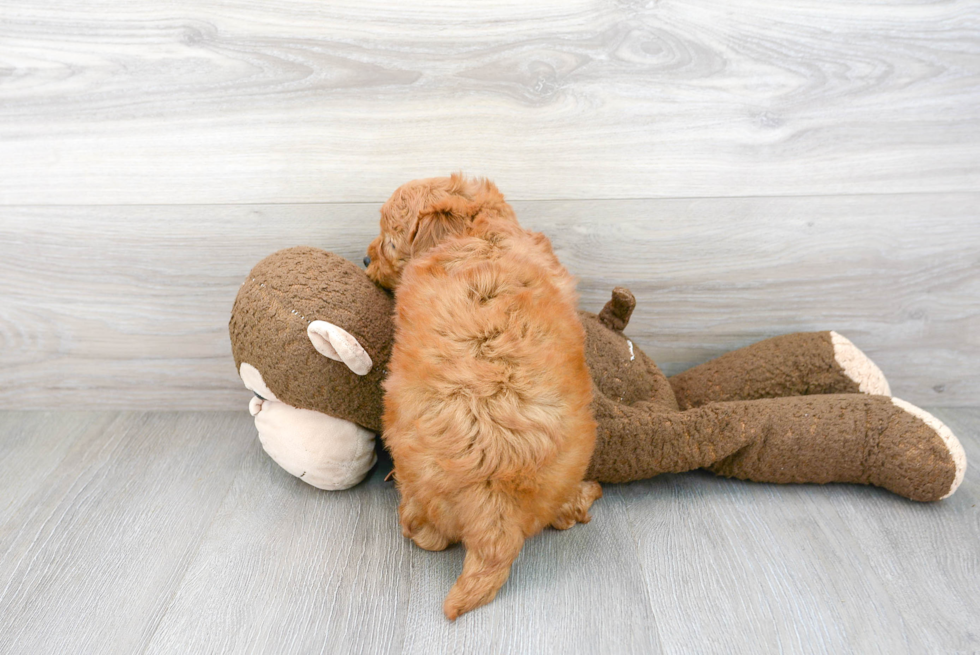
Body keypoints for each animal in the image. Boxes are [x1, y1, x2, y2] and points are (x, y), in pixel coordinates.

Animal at [366, 174, 600, 620]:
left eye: (388, 242)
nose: (364, 258)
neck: (477, 232)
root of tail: (495, 518)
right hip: (573, 458)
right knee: (561, 511)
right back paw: (582, 498)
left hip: (418, 477)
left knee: (428, 535)